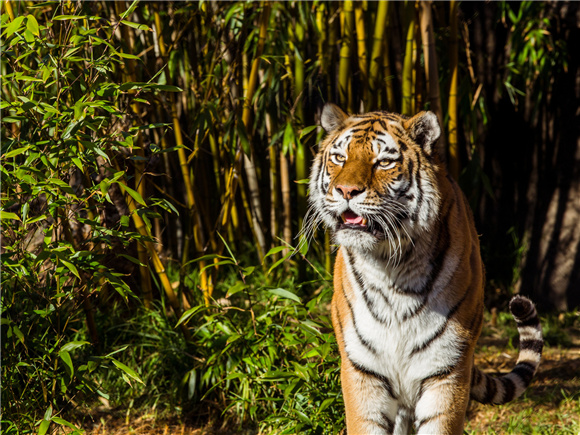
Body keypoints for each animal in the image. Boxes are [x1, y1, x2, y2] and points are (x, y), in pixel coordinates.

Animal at [306, 104, 548, 434]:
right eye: (340, 158)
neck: (389, 267)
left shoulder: (446, 369)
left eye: (383, 162)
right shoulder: (362, 370)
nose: (345, 190)